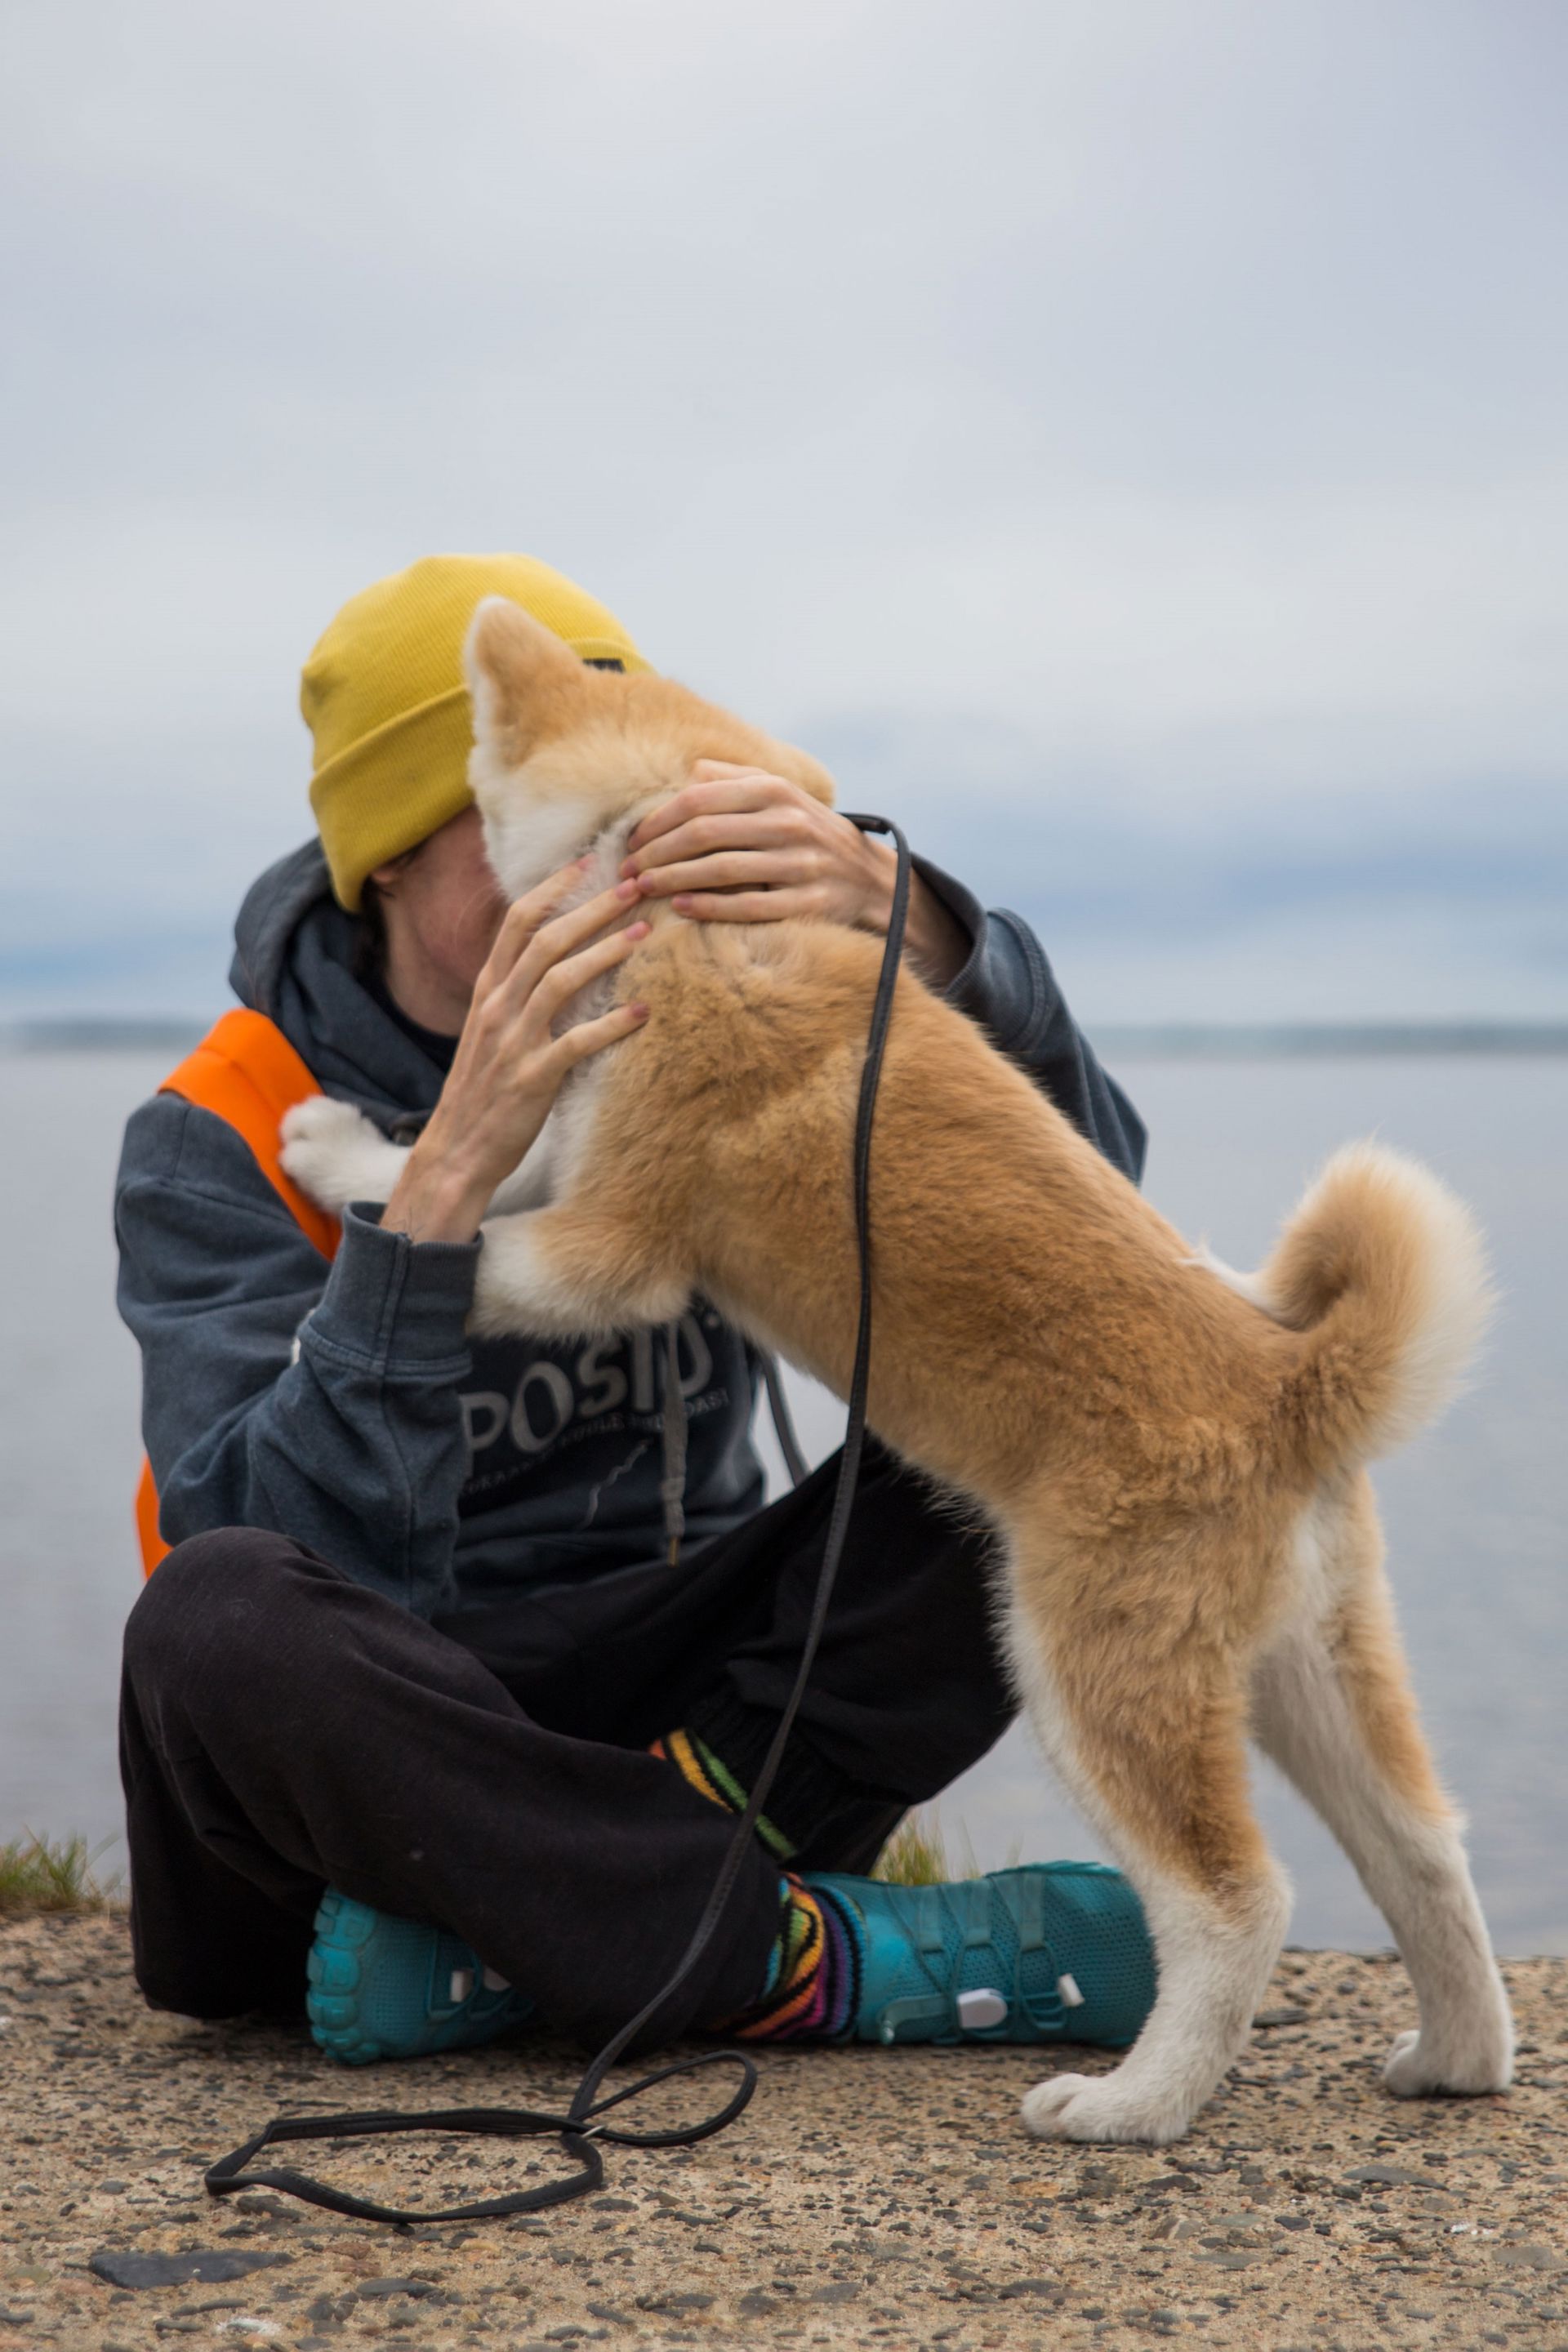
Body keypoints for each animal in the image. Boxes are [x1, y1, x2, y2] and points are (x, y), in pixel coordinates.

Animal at [276, 597, 1513, 2145]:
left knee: (1236, 1902)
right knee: (1427, 1854)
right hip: (1314, 1672)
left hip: (1092, 1660)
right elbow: (467, 1157)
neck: (663, 866)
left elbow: (476, 1222)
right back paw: (1456, 2057)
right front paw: (355, 1145)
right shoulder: (567, 1157)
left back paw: (1132, 2104)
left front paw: (342, 1217)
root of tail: (1289, 1391)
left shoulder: (607, 1248)